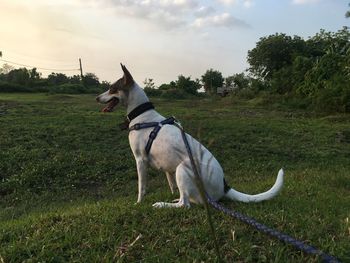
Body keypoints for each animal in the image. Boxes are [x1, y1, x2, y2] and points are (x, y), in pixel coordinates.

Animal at [96, 64, 284, 208]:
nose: (97, 98)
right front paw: (171, 192)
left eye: (112, 88)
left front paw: (139, 203)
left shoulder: (140, 160)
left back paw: (164, 205)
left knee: (185, 205)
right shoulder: (167, 167)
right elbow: (171, 184)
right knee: (184, 198)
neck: (142, 115)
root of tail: (224, 186)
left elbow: (141, 187)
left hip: (183, 168)